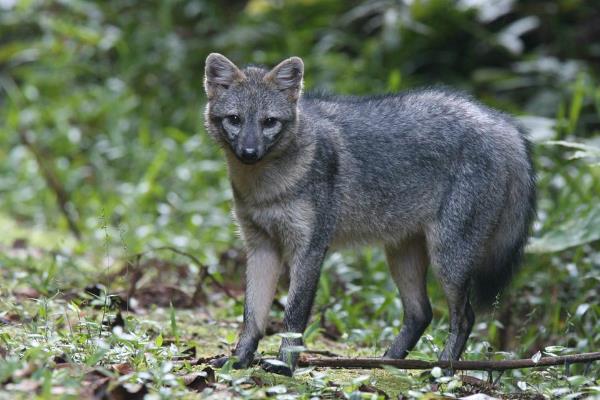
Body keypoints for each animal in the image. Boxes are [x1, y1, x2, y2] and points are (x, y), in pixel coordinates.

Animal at [204, 52, 536, 376]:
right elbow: (252, 316)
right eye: (235, 119)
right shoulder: (261, 246)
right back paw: (390, 362)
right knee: (421, 313)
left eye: (269, 122)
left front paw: (284, 366)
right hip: (403, 256)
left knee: (465, 317)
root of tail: (497, 119)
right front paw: (239, 360)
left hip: (448, 260)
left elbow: (293, 315)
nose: (249, 153)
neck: (266, 189)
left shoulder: (310, 249)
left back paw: (442, 370)